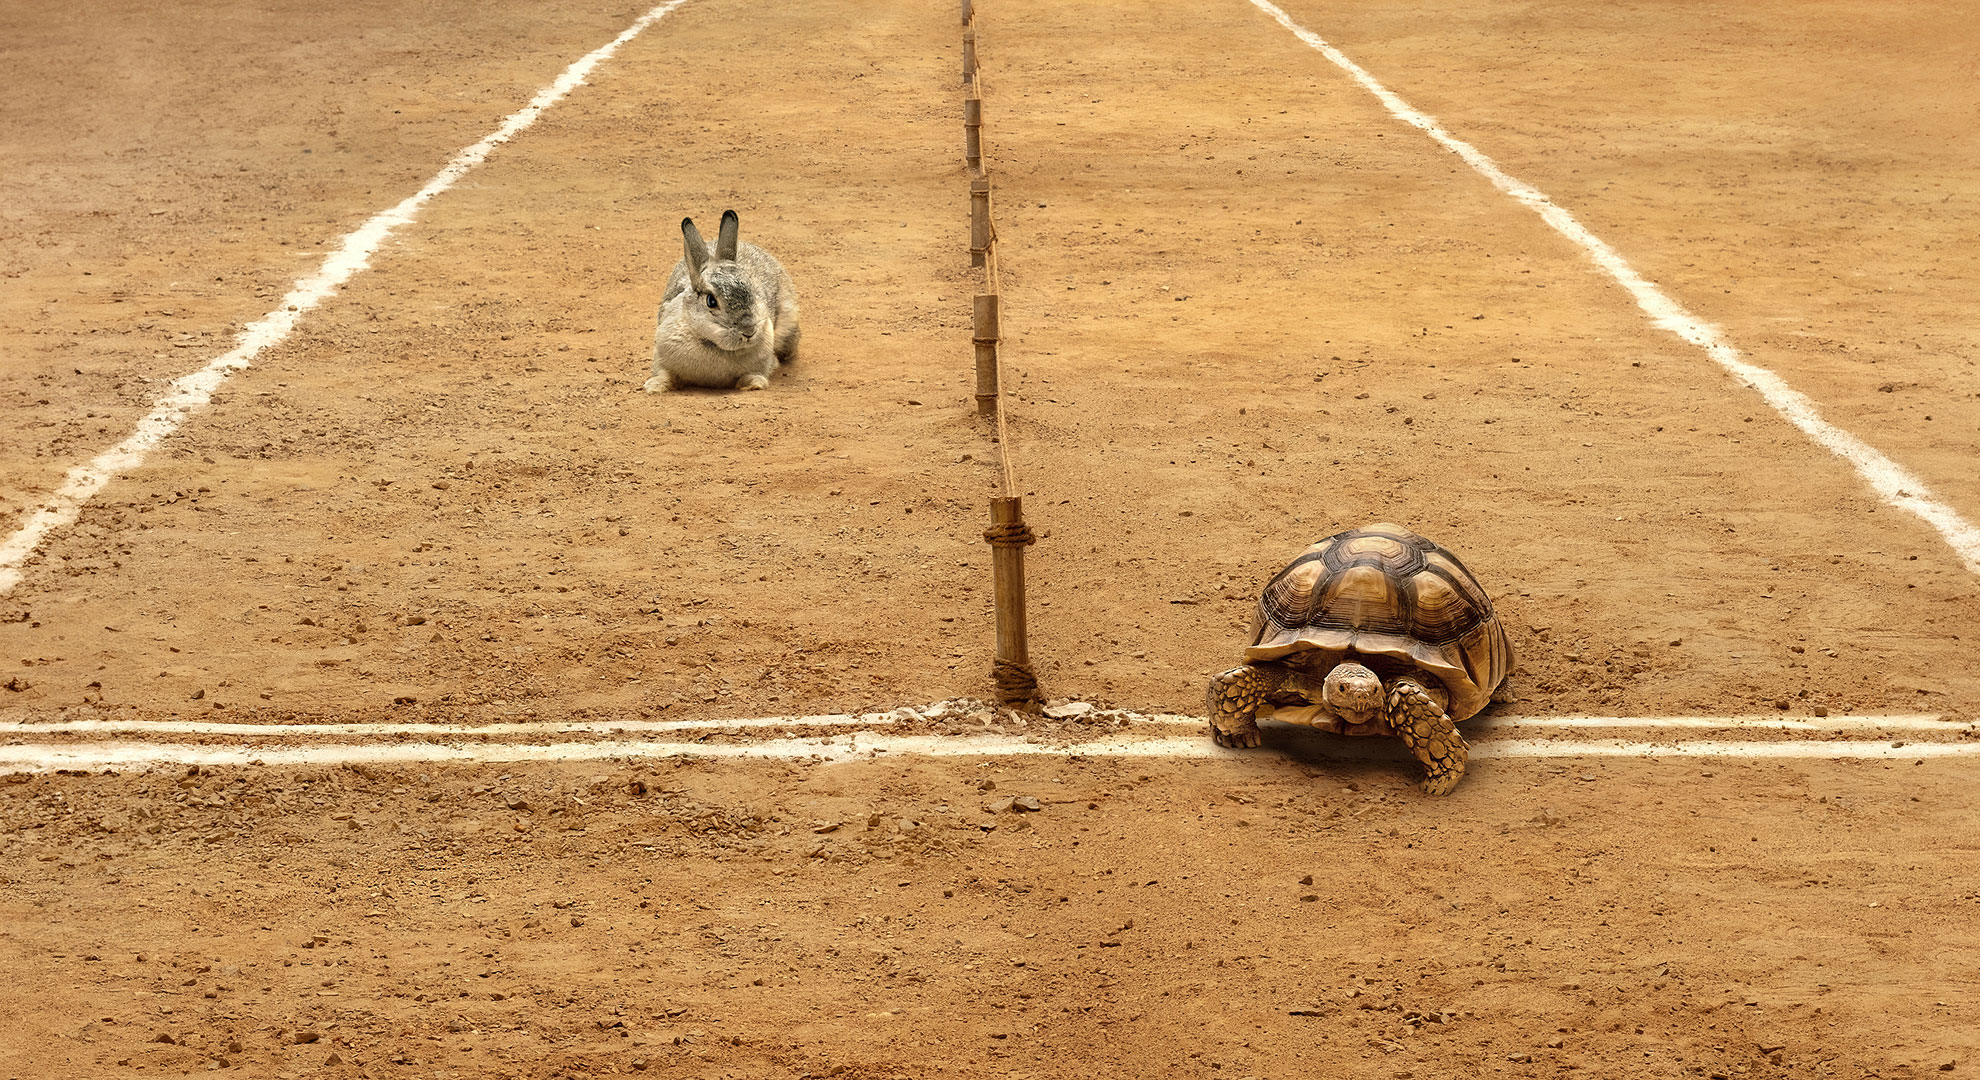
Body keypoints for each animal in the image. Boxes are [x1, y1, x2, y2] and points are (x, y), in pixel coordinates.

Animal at [643, 210, 800, 392]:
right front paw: (654, 386)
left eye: (753, 290)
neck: (714, 344)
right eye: (711, 301)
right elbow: (665, 374)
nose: (749, 331)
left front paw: (753, 384)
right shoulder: (661, 356)